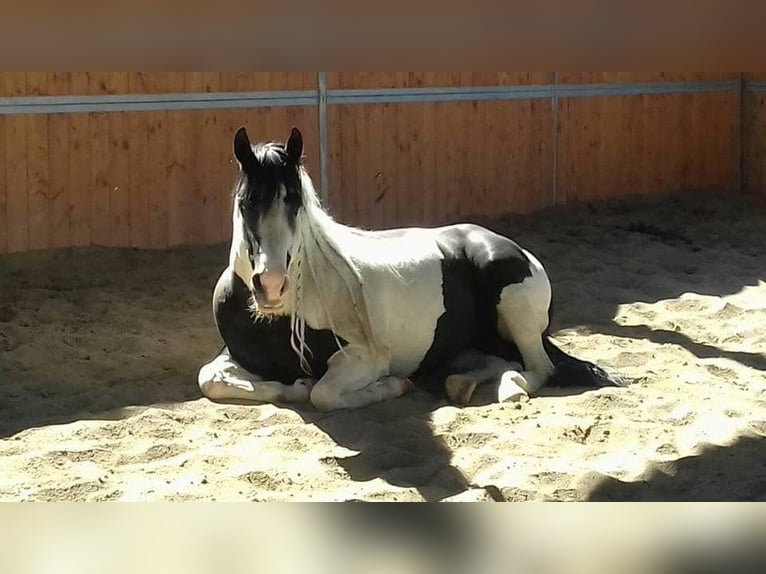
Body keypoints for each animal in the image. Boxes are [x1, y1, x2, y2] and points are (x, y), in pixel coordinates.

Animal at [198, 127, 624, 412]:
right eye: (246, 203)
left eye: (295, 202)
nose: (271, 287)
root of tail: (514, 248)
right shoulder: (233, 357)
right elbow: (209, 380)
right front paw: (292, 387)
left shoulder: (365, 358)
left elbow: (322, 394)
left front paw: (392, 387)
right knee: (499, 360)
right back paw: (461, 384)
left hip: (516, 313)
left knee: (538, 367)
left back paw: (508, 388)